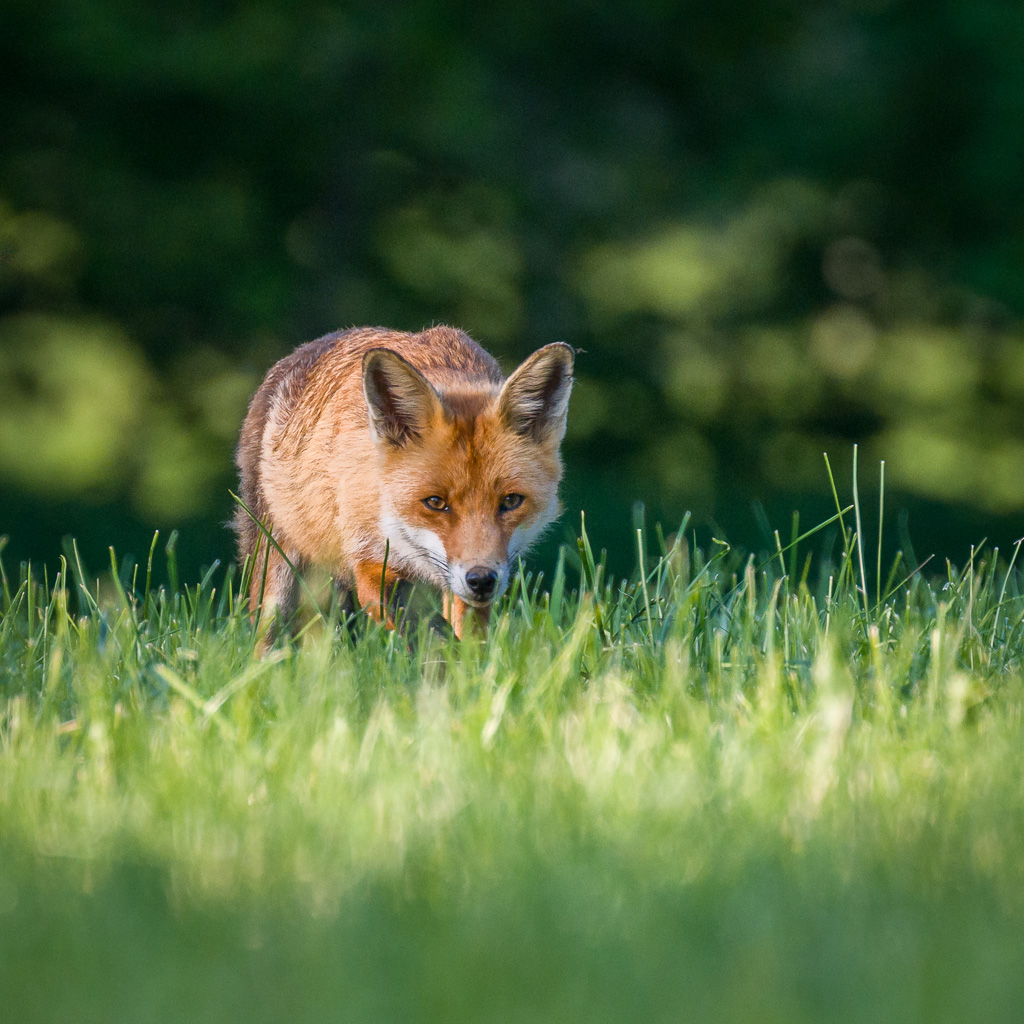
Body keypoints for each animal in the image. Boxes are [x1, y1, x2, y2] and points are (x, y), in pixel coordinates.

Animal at [233, 323, 581, 643]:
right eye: (435, 503)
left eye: (510, 501)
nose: (481, 580)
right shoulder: (371, 561)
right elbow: (428, 631)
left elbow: (465, 635)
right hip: (275, 568)